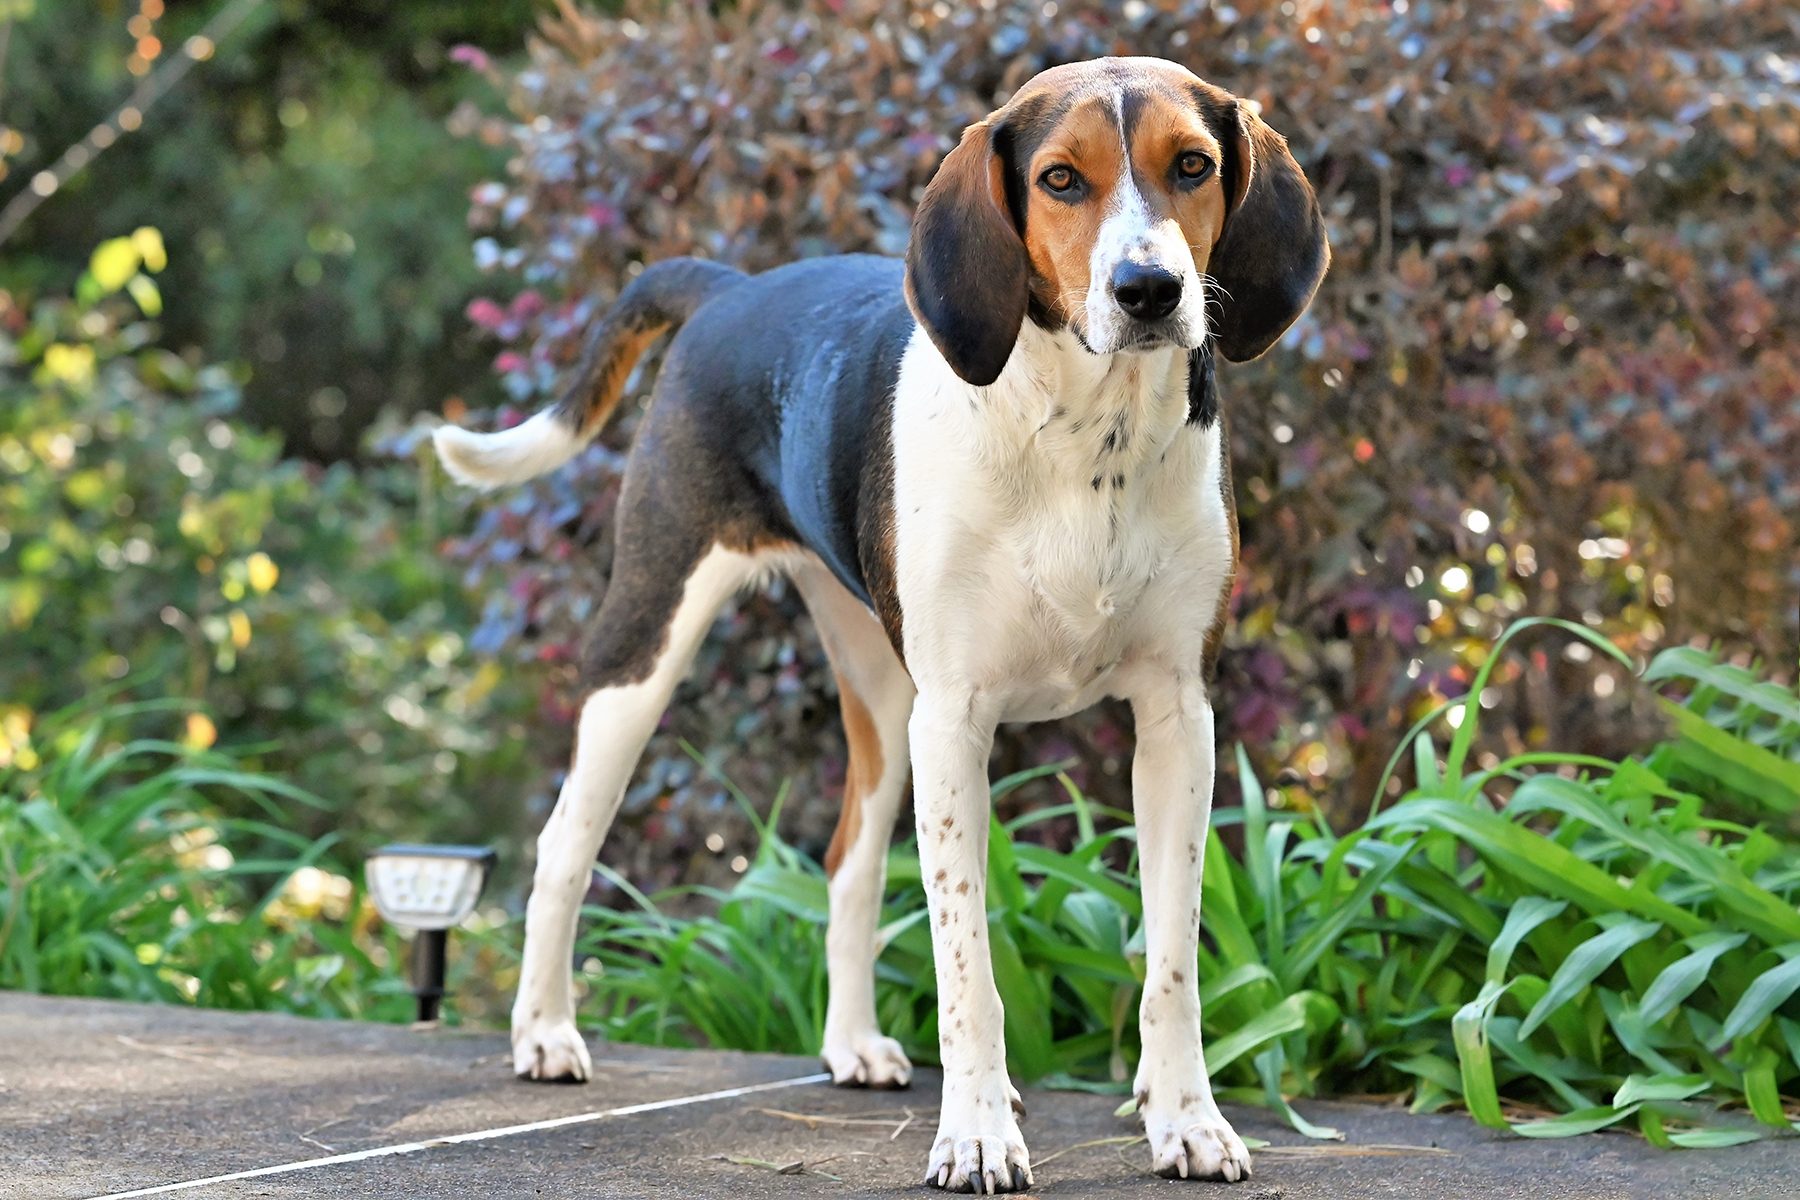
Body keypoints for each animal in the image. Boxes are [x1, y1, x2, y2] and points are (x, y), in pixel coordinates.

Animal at [439, 56, 1324, 1194]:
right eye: (1061, 179)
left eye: (1194, 166)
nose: (1151, 291)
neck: (1090, 440)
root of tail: (731, 289)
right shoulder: (958, 722)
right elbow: (967, 967)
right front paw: (980, 1133)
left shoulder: (1177, 719)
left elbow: (1170, 958)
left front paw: (1185, 1119)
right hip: (648, 648)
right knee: (565, 844)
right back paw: (545, 1032)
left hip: (882, 695)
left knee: (846, 862)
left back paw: (852, 1045)